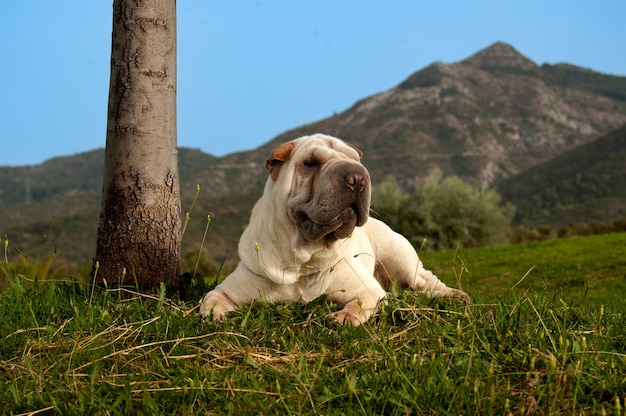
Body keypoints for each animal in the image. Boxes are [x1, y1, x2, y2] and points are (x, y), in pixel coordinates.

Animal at [200, 133, 468, 324]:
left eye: (356, 161)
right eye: (310, 163)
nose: (357, 178)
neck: (304, 257)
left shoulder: (368, 291)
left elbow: (358, 304)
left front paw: (344, 317)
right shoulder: (229, 289)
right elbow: (212, 299)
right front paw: (213, 315)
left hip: (399, 258)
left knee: (425, 281)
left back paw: (454, 296)